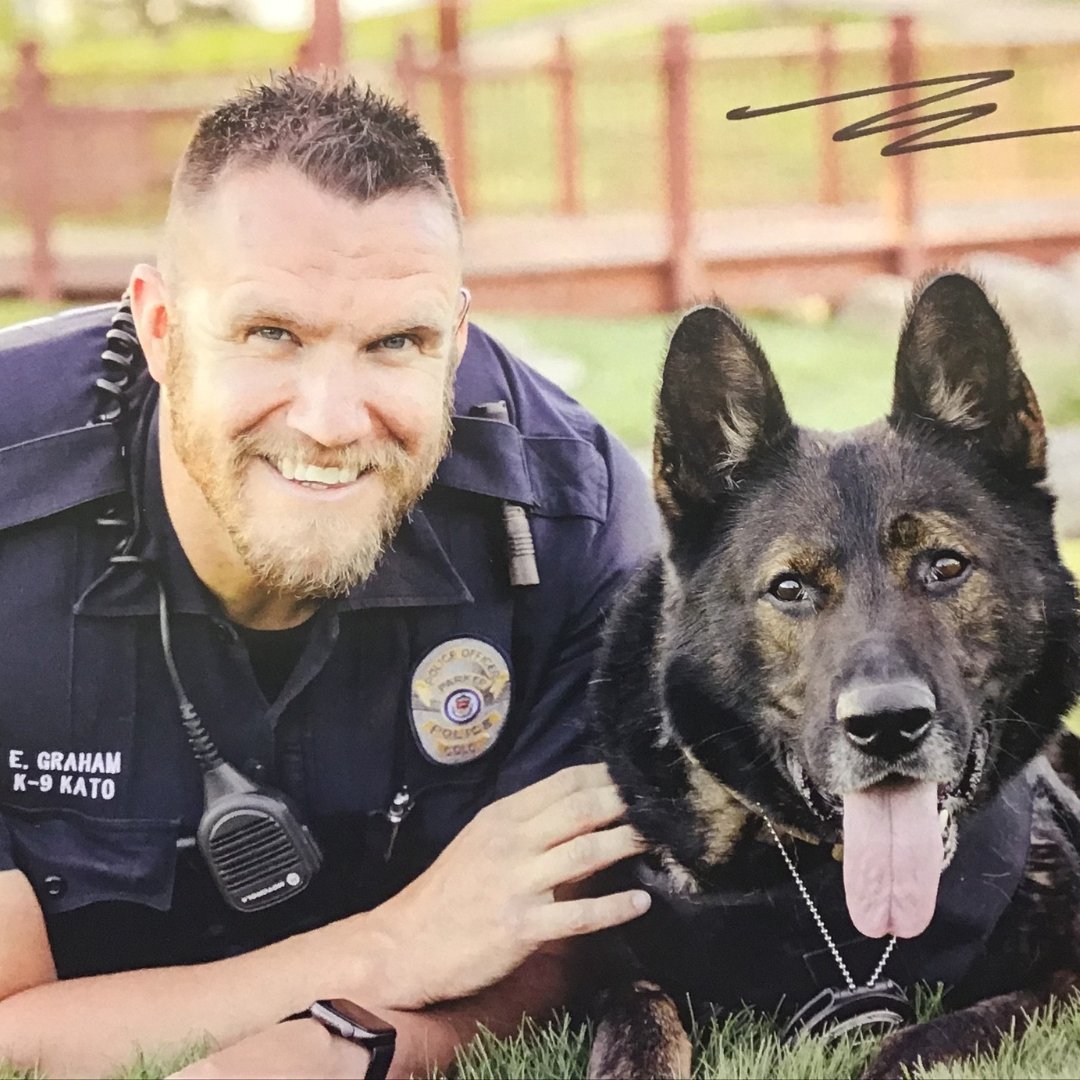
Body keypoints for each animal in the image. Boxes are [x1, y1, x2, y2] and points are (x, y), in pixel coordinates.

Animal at [587, 274, 1080, 1075]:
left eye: (945, 565)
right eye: (790, 588)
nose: (888, 726)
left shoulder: (1063, 983)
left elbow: (925, 1038)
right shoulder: (623, 977)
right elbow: (639, 1024)